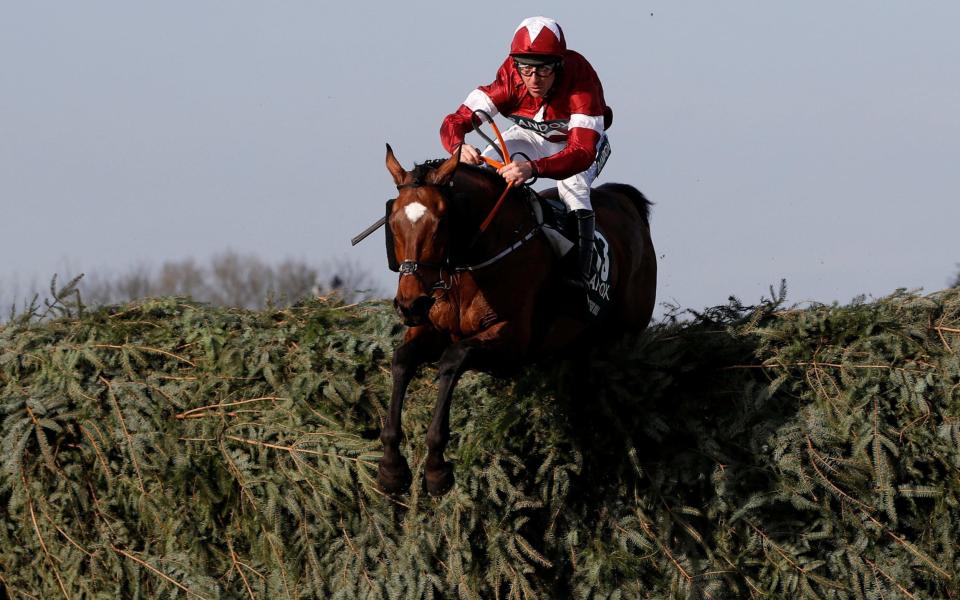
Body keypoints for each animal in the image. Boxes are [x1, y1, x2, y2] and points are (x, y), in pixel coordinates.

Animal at [378, 145, 656, 496]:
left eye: (441, 222)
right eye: (393, 222)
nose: (410, 304)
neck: (472, 260)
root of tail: (625, 201)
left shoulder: (512, 344)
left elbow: (454, 358)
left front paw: (437, 468)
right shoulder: (431, 328)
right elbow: (402, 360)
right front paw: (391, 467)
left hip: (624, 337)